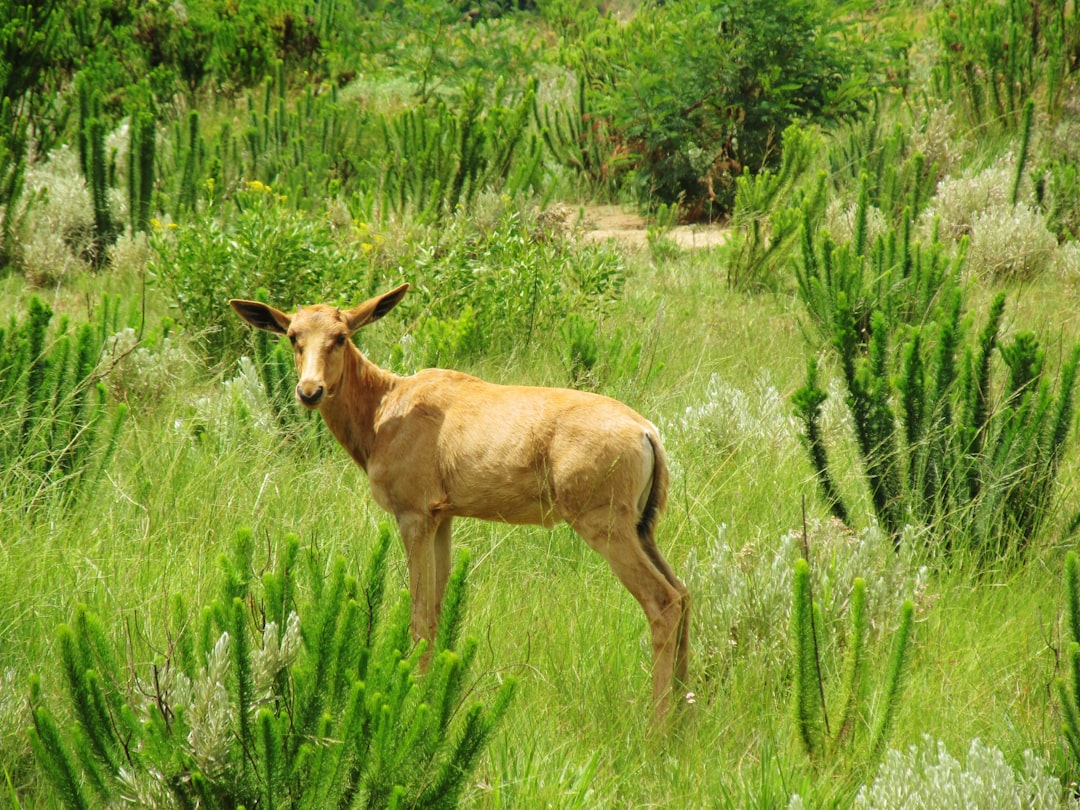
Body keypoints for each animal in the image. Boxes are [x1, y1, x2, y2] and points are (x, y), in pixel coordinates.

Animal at [230, 285, 691, 721]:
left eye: (341, 336)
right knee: (684, 593)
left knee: (664, 602)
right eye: (293, 335)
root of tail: (646, 431)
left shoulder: (413, 516)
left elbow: (419, 618)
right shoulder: (443, 518)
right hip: (642, 529)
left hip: (604, 527)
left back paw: (657, 728)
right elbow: (439, 612)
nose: (310, 391)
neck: (386, 406)